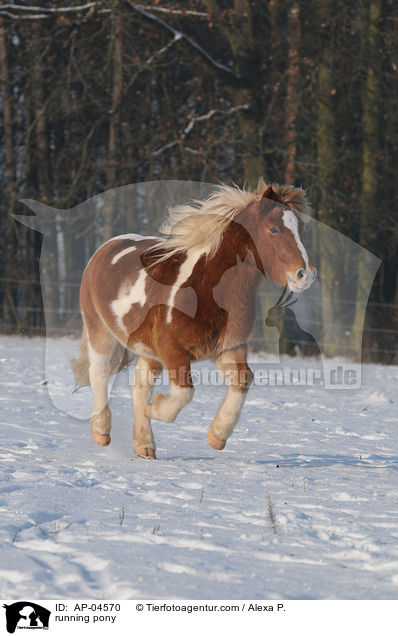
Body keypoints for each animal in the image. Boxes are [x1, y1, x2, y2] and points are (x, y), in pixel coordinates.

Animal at [70, 179, 314, 458]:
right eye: (273, 229)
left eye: (300, 229)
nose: (304, 275)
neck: (207, 290)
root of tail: (105, 248)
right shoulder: (172, 350)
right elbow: (184, 392)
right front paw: (157, 409)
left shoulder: (227, 348)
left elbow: (242, 380)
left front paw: (216, 436)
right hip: (100, 331)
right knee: (99, 373)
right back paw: (101, 432)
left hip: (147, 351)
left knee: (139, 386)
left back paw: (144, 446)